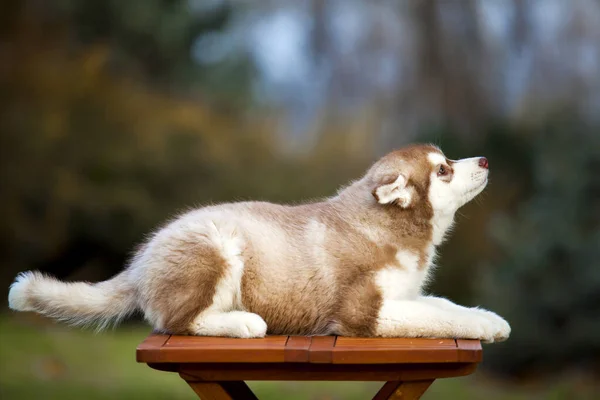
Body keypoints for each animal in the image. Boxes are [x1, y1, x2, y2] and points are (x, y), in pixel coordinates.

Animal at [7, 145, 508, 344]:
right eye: (443, 170)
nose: (485, 159)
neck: (388, 226)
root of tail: (141, 260)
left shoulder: (405, 293)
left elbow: (444, 305)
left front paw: (490, 318)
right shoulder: (361, 313)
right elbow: (435, 317)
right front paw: (481, 326)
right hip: (217, 244)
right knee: (177, 322)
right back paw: (242, 322)